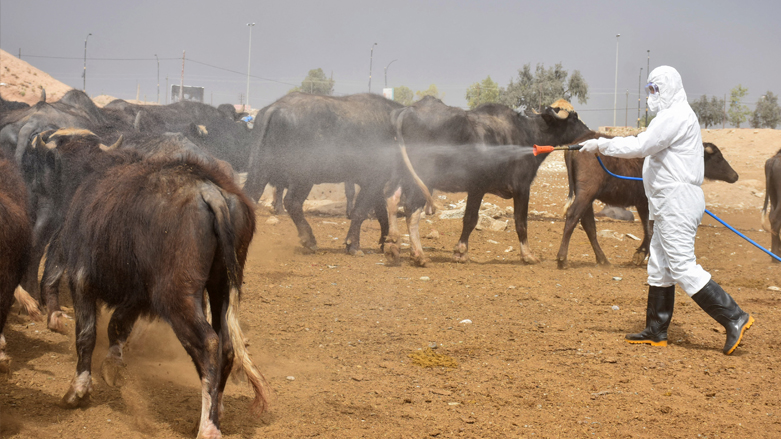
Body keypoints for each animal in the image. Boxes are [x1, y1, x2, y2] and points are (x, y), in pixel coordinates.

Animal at [30, 130, 270, 439]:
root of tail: (210, 192)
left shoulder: (82, 280)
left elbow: (86, 335)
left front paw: (78, 390)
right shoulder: (138, 294)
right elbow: (117, 326)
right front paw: (112, 366)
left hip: (176, 297)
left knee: (209, 344)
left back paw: (208, 426)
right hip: (222, 289)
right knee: (226, 346)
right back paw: (216, 410)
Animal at [244, 93, 402, 256]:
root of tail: (277, 106)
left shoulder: (377, 184)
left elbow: (381, 213)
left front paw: (384, 242)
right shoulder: (374, 180)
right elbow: (360, 212)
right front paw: (353, 245)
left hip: (261, 170)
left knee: (251, 196)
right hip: (303, 177)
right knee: (292, 202)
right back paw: (309, 240)